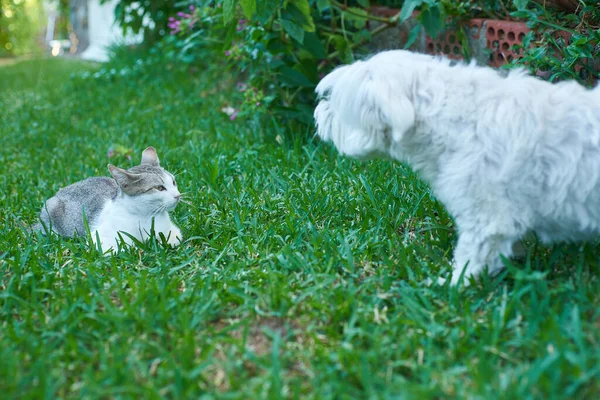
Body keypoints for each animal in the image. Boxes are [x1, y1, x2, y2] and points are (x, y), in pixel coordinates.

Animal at [36, 147, 182, 252]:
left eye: (173, 182)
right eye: (159, 188)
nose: (178, 195)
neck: (145, 217)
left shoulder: (173, 233)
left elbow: (172, 240)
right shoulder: (99, 239)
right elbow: (124, 248)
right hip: (51, 206)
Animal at [314, 50, 600, 286]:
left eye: (338, 104)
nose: (319, 112)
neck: (456, 117)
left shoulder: (485, 214)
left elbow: (472, 254)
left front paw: (452, 285)